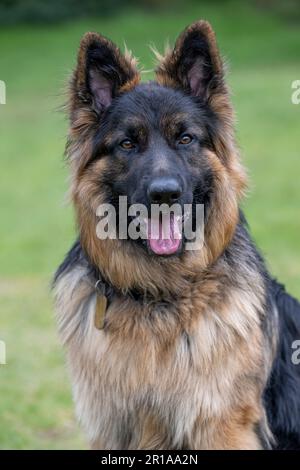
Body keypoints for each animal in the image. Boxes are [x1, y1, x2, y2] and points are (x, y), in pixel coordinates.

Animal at [53, 21, 300, 448]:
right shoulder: (111, 428)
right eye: (127, 143)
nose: (164, 194)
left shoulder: (221, 424)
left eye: (185, 138)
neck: (159, 295)